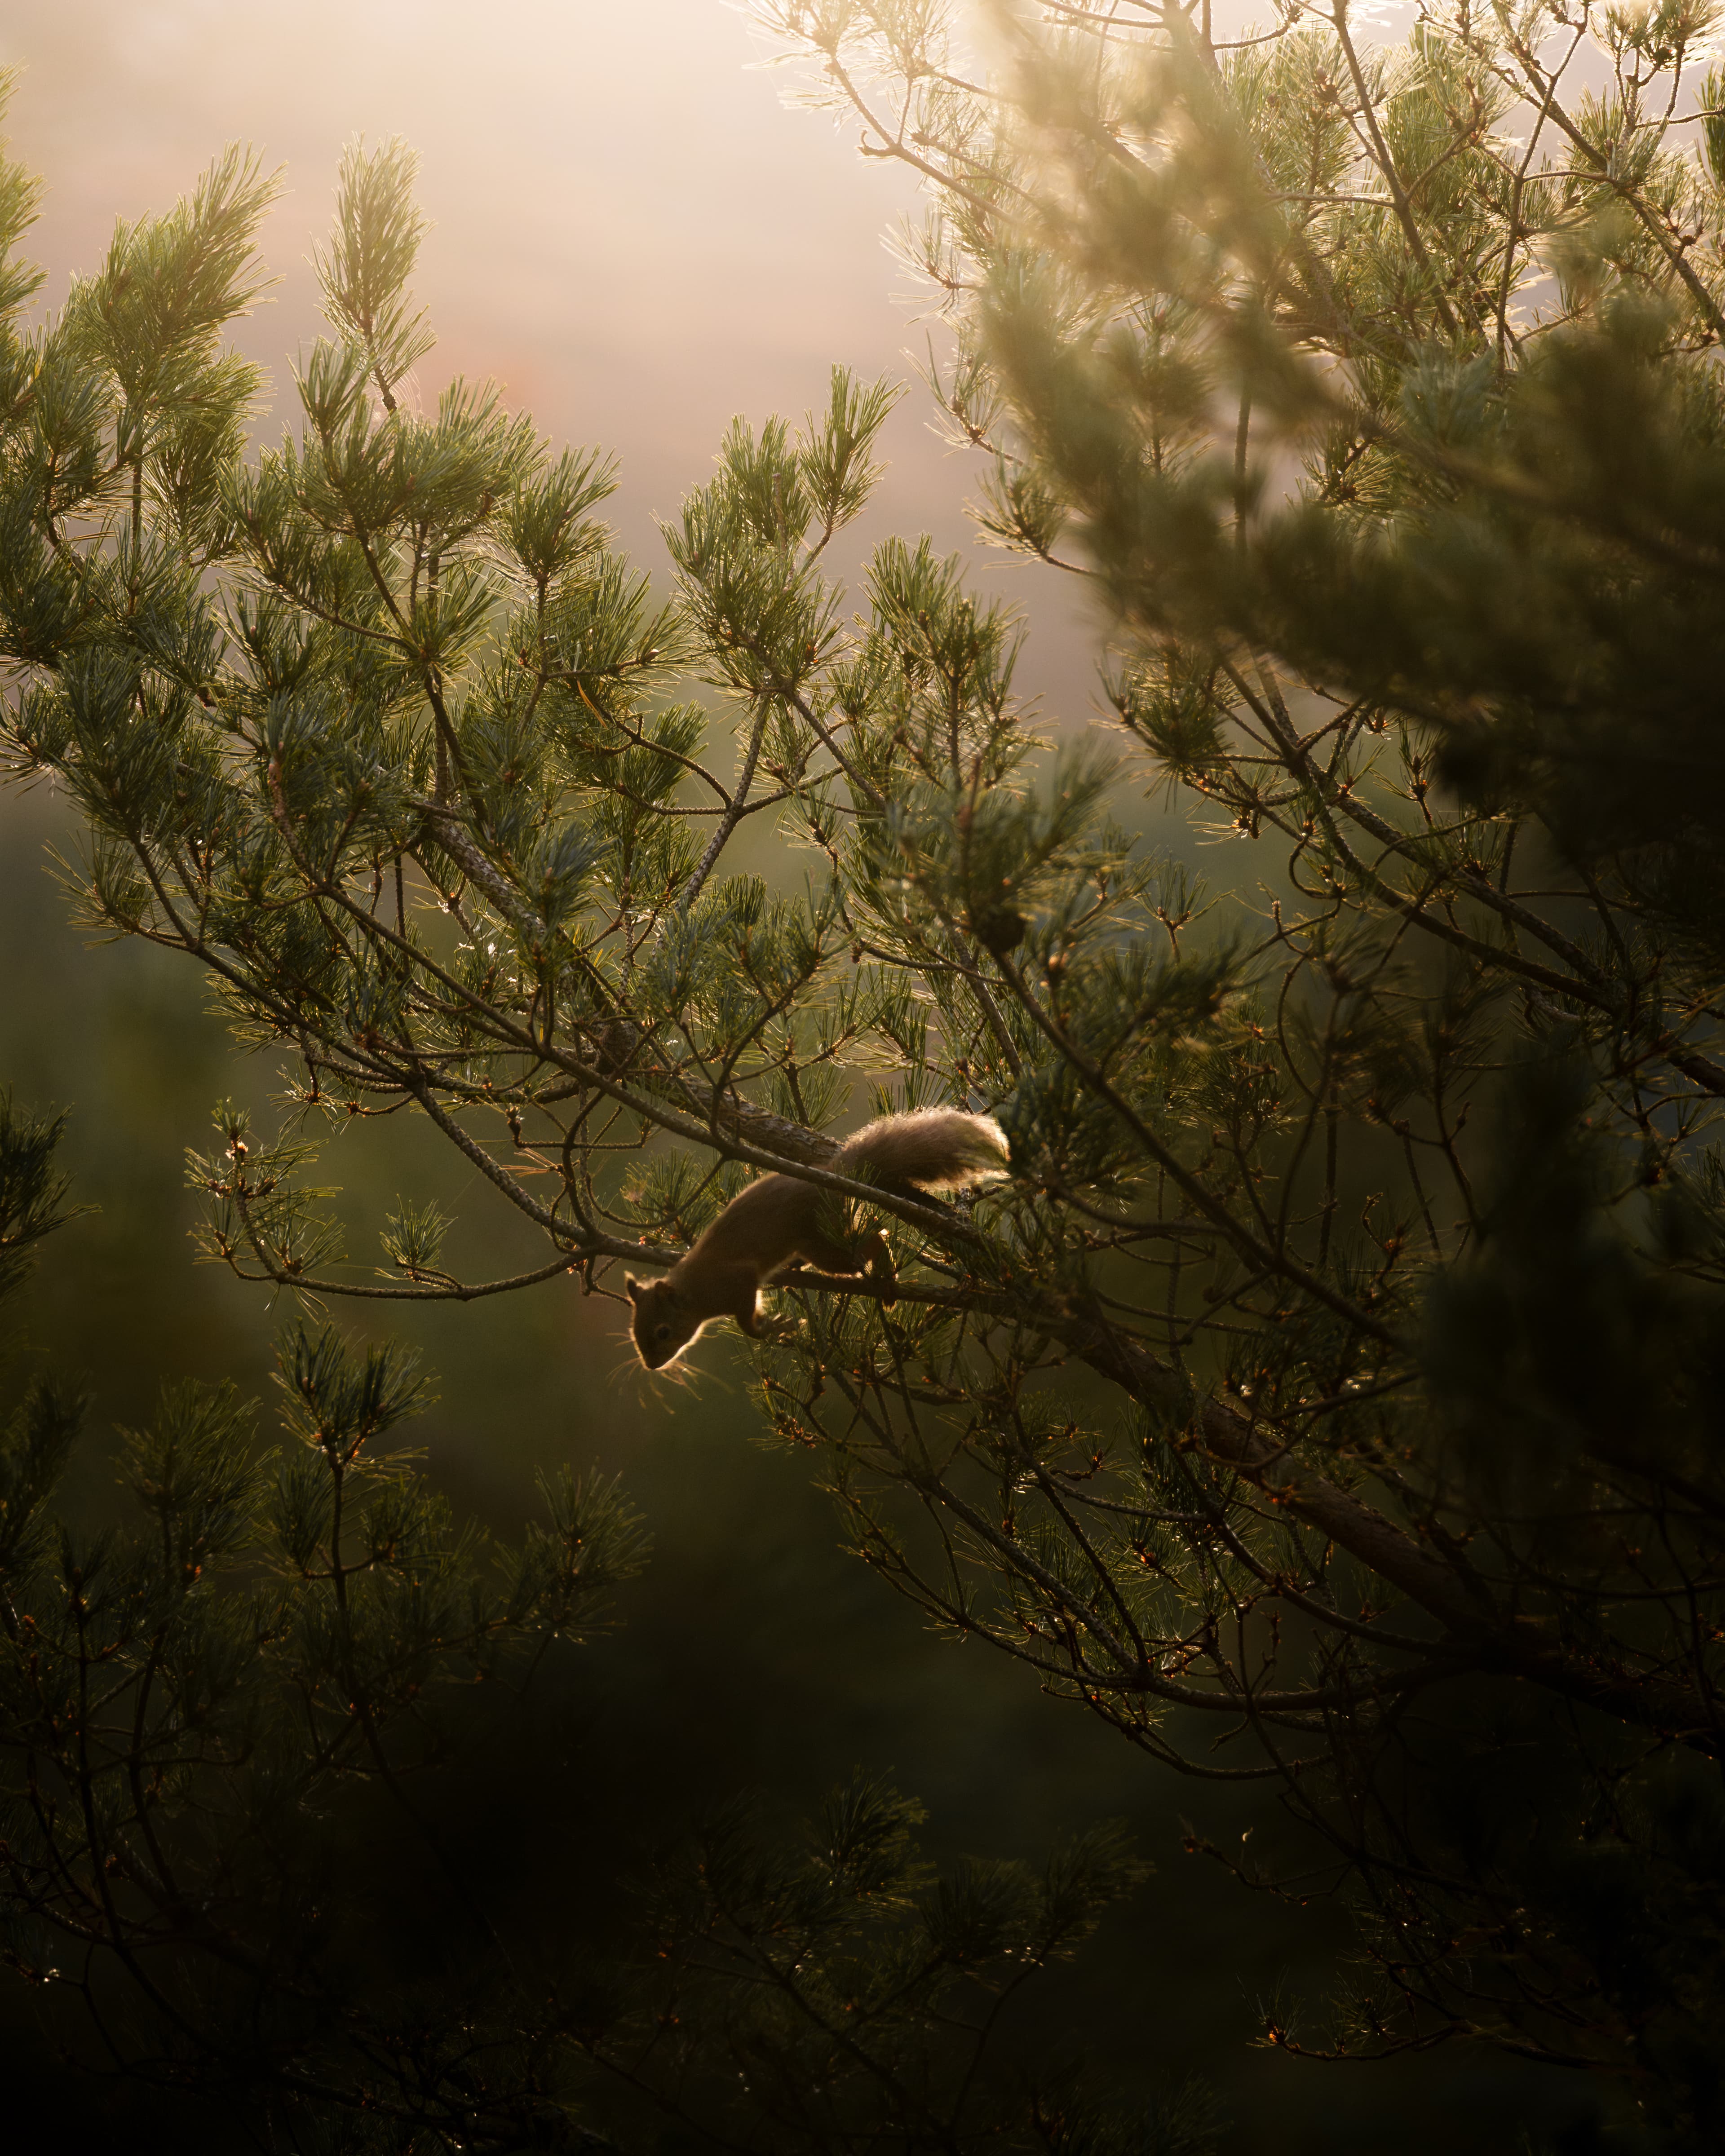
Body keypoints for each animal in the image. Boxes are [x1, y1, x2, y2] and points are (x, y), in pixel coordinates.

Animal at [626, 1108, 1009, 1370]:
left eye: (662, 1332)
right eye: (634, 1334)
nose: (652, 1366)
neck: (693, 1289)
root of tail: (835, 1175)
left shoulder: (737, 1281)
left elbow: (748, 1321)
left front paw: (770, 1327)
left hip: (825, 1243)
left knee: (872, 1240)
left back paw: (884, 1271)